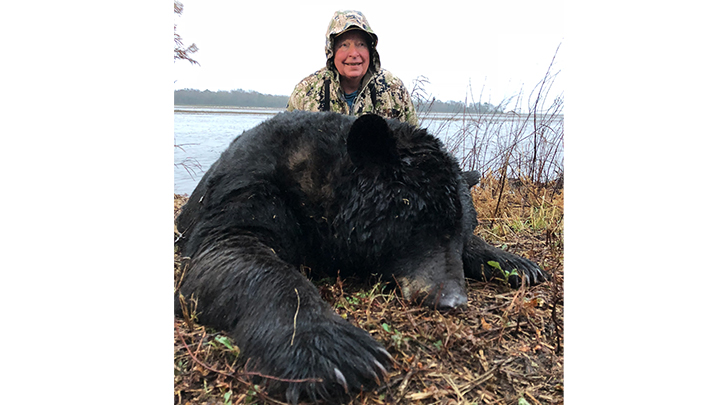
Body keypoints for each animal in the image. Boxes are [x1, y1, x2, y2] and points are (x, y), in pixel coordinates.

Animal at [174, 109, 544, 400]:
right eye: (420, 222)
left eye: (460, 231)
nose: (453, 299)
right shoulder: (249, 188)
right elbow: (235, 252)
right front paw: (332, 351)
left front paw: (517, 263)